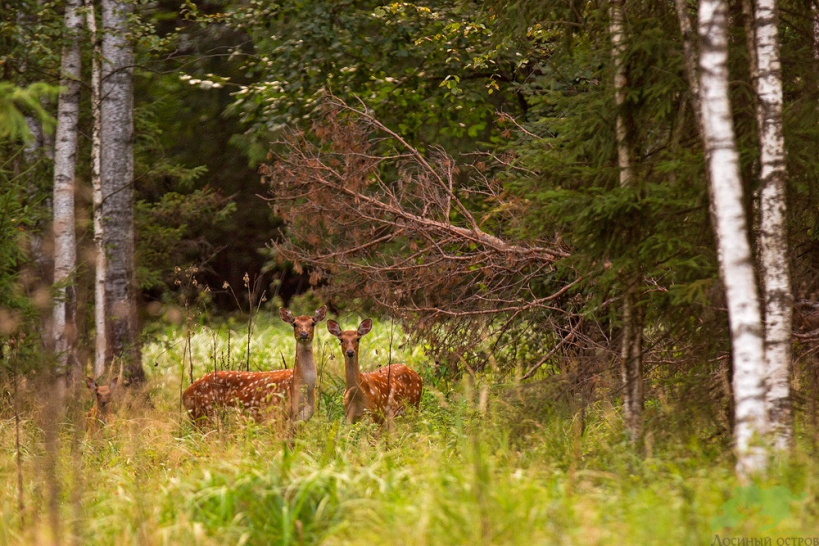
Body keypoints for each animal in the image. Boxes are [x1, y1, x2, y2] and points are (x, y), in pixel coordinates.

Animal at [184, 304, 328, 422]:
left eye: (313, 323)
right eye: (295, 324)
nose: (303, 334)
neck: (298, 384)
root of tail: (185, 394)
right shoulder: (276, 414)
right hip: (204, 413)